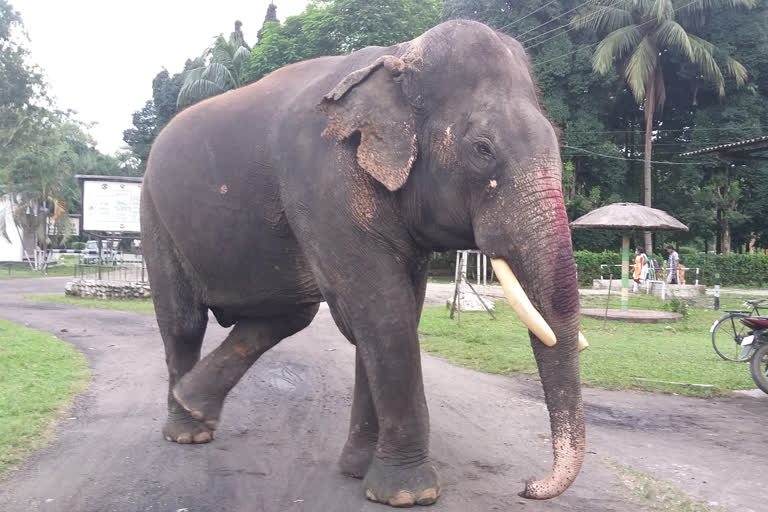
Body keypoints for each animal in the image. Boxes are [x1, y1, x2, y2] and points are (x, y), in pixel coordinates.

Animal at [140, 19, 584, 508]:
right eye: (482, 149)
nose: (528, 486)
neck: (399, 55)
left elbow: (391, 312)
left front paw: (357, 471)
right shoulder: (322, 179)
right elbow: (382, 310)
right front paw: (408, 494)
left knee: (288, 313)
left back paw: (193, 404)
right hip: (154, 214)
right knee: (184, 322)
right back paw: (186, 431)